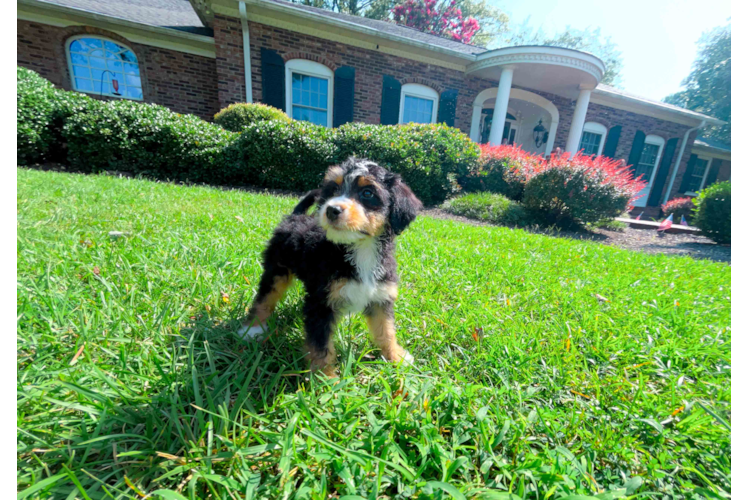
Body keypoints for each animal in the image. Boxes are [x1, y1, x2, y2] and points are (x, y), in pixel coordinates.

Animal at [241, 157, 424, 376]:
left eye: (367, 193)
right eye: (334, 189)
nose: (331, 209)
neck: (361, 249)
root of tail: (295, 216)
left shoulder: (381, 296)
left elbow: (386, 330)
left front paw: (396, 357)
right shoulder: (321, 304)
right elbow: (321, 346)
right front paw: (326, 379)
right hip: (277, 269)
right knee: (265, 297)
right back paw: (253, 329)